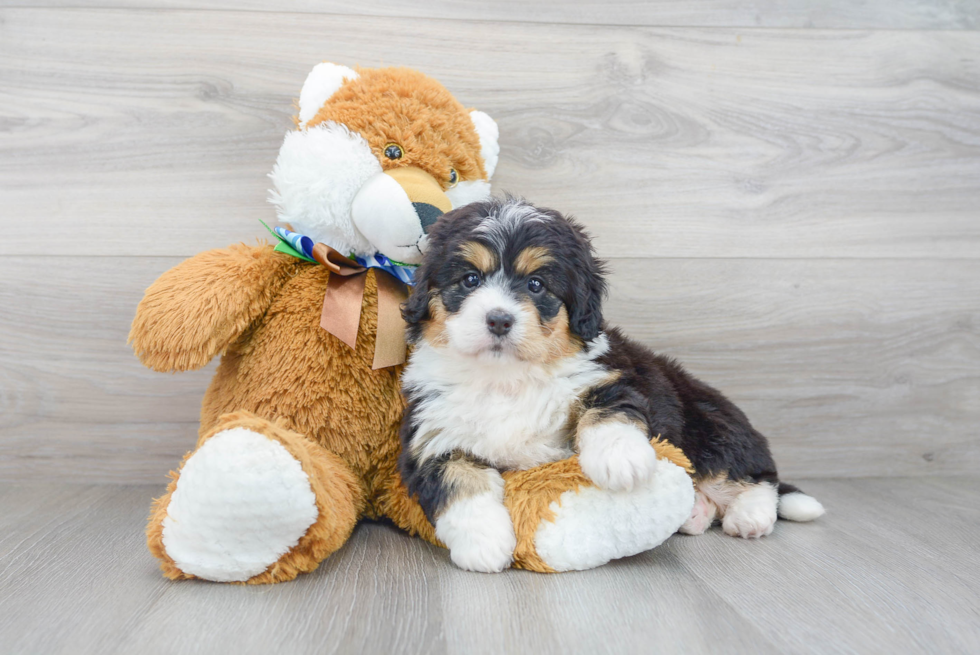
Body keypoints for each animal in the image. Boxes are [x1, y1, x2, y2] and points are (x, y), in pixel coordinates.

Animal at [396, 200, 820, 576]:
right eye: (470, 279)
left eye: (536, 284)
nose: (499, 320)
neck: (506, 378)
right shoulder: (431, 437)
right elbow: (459, 483)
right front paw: (484, 544)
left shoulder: (612, 379)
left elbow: (608, 410)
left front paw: (621, 460)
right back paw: (695, 514)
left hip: (710, 427)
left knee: (755, 477)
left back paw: (750, 516)